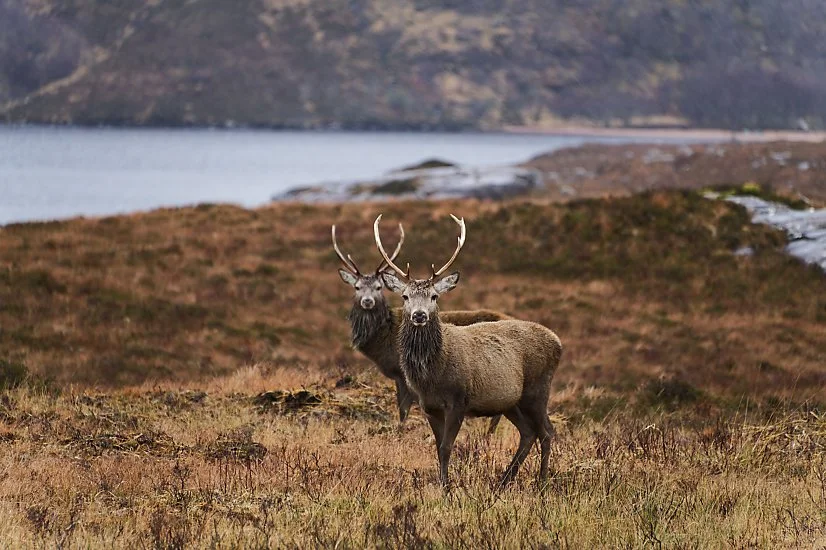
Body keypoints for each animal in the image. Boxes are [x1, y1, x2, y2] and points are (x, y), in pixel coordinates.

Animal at [333, 223, 509, 432]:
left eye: (378, 287)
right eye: (357, 287)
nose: (367, 301)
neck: (382, 339)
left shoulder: (402, 375)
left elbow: (404, 410)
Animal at [374, 214, 563, 488]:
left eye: (434, 296)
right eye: (405, 296)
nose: (419, 315)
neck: (432, 375)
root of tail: (558, 342)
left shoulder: (458, 400)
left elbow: (446, 447)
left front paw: (447, 488)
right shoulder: (429, 406)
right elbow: (438, 448)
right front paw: (443, 484)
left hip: (537, 389)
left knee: (546, 432)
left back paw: (542, 481)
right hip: (510, 401)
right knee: (528, 433)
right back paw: (503, 481)